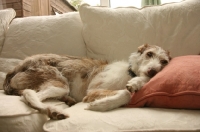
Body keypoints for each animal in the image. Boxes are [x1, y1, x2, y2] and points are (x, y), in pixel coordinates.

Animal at [2, 44, 170, 119]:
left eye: (164, 62)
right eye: (149, 54)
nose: (153, 71)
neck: (130, 72)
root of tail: (14, 69)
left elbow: (132, 87)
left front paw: (136, 83)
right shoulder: (93, 91)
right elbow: (125, 94)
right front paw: (100, 105)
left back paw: (66, 102)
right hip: (59, 83)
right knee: (29, 94)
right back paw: (55, 111)